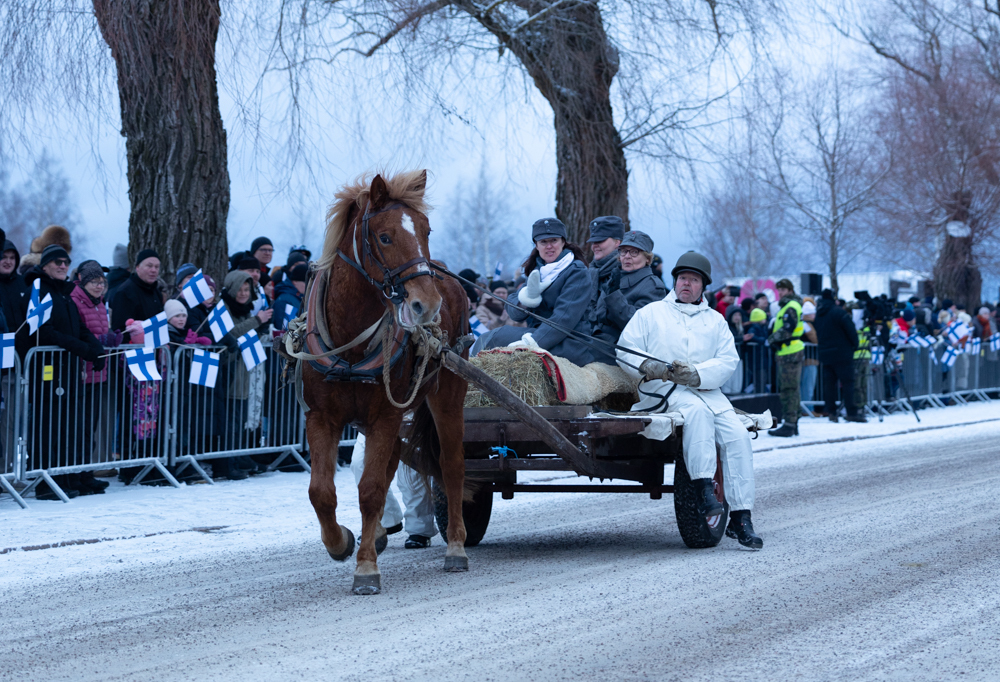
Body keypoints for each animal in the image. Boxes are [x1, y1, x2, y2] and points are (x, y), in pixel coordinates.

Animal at [300, 169, 468, 588]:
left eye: (426, 229)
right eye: (385, 236)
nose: (428, 303)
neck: (350, 347)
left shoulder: (387, 415)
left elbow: (371, 489)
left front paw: (365, 568)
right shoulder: (321, 417)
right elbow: (321, 491)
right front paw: (341, 542)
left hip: (447, 394)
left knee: (452, 465)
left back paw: (456, 547)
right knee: (391, 461)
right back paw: (375, 534)